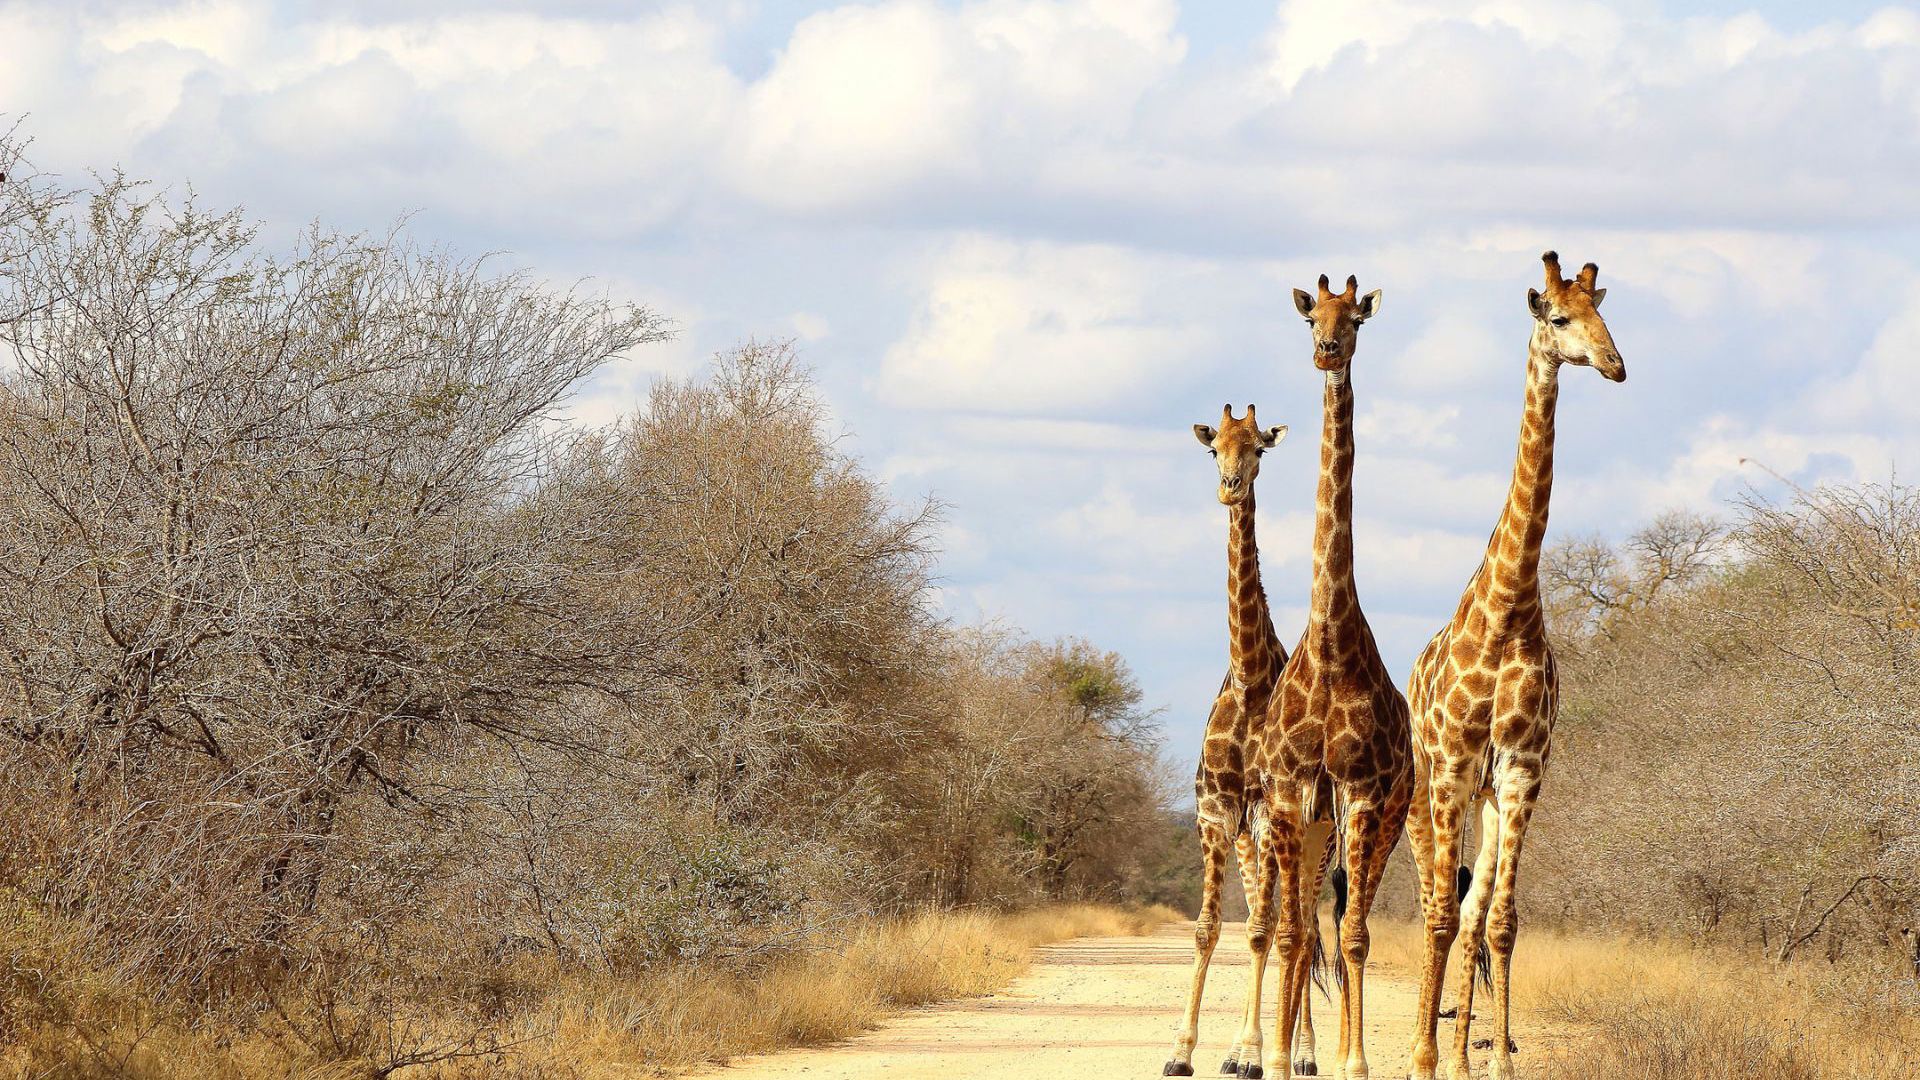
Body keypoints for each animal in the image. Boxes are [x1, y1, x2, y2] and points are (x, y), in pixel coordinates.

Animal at [1403, 252, 1625, 1080]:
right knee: (1431, 904)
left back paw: (1463, 1053)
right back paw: (1424, 1044)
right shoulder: (1455, 765)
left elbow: (1500, 919)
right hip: (1428, 786)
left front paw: (1493, 1059)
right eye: (1558, 318)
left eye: (1602, 313)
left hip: (1490, 796)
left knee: (1470, 910)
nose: (1616, 364)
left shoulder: (1523, 769)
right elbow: (1440, 913)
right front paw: (1425, 1057)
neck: (1508, 611)